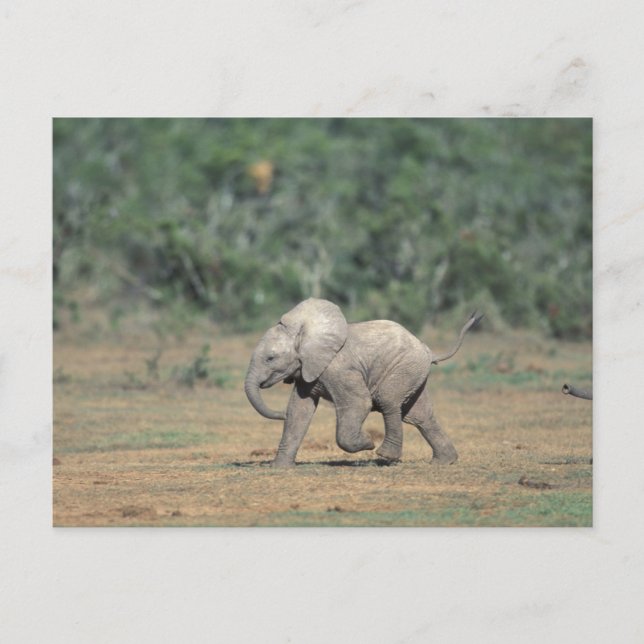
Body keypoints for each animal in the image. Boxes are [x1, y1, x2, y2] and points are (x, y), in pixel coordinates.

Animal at [244, 298, 481, 467]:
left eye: (270, 358)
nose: (279, 414)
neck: (305, 333)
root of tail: (428, 350)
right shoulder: (308, 370)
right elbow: (298, 411)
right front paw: (279, 467)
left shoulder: (339, 368)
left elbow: (359, 403)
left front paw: (367, 442)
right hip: (414, 372)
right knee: (420, 416)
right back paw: (443, 462)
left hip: (404, 367)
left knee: (389, 402)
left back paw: (385, 456)